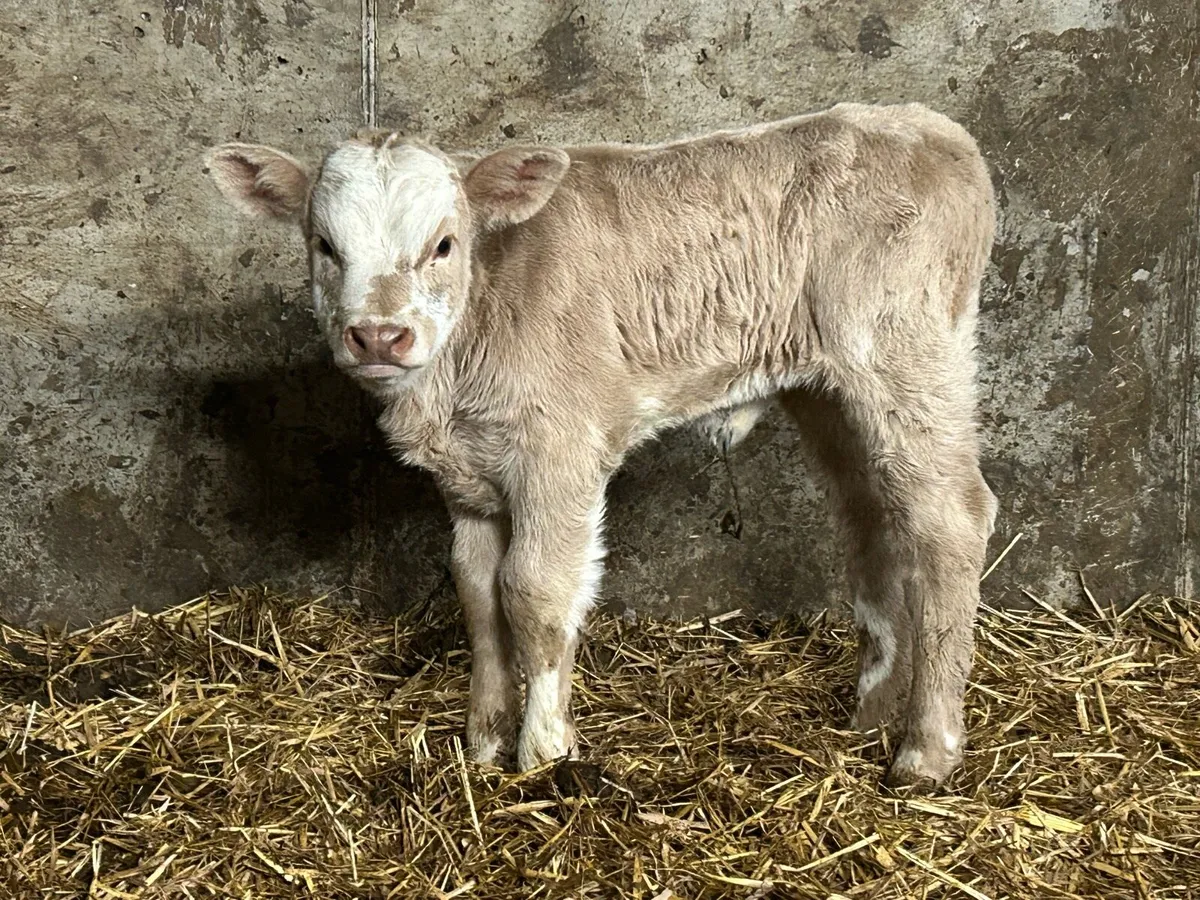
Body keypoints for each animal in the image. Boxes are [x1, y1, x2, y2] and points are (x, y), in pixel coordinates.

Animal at [205, 100, 998, 788]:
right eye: (324, 246)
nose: (378, 336)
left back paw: (925, 751)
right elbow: (477, 593)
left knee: (952, 518)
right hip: (830, 393)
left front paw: (544, 751)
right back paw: (868, 718)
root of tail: (927, 126)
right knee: (876, 519)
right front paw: (482, 743)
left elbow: (533, 592)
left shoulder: (560, 452)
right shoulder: (469, 481)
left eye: (443, 245)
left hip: (907, 357)